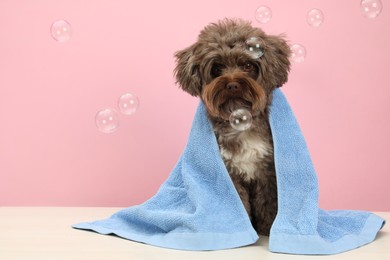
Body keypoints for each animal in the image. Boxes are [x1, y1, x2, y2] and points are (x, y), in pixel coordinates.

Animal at [174, 18, 290, 236]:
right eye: (217, 68)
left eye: (248, 65)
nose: (233, 84)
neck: (240, 124)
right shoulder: (229, 174)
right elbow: (238, 204)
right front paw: (241, 230)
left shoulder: (267, 172)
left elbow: (268, 202)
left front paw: (268, 229)